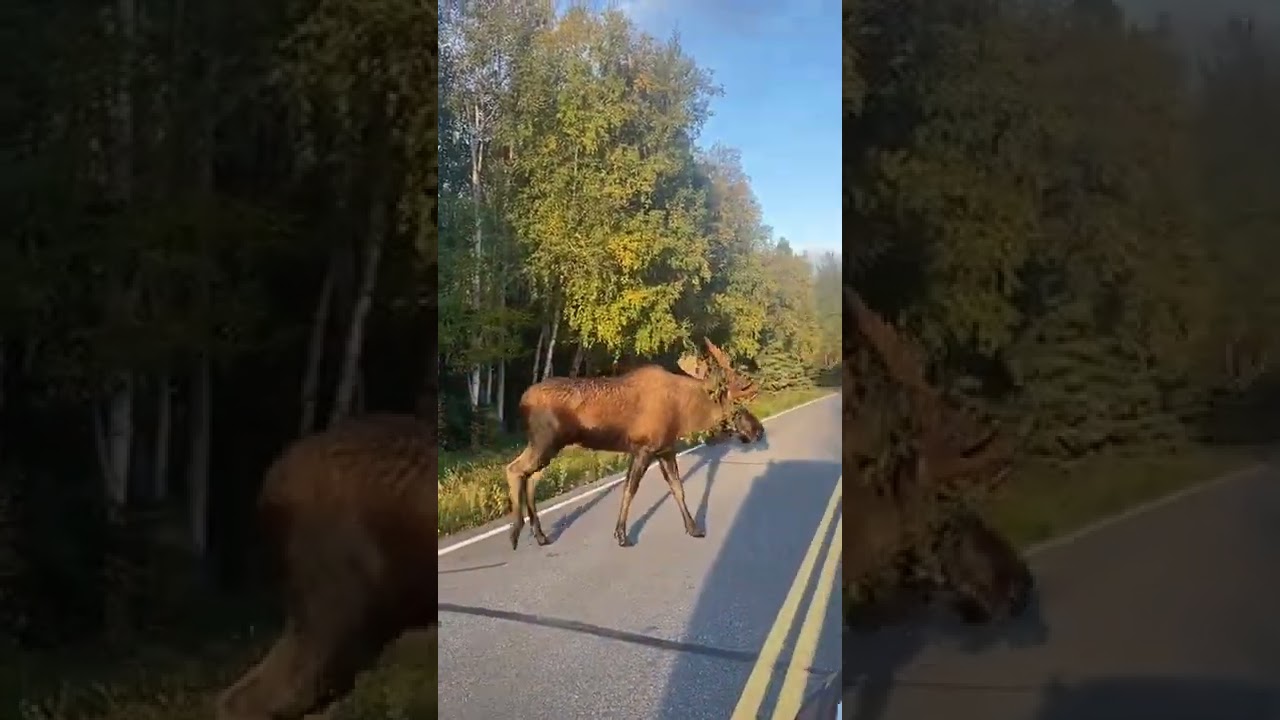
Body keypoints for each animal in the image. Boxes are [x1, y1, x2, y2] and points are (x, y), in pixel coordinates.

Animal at [504, 338, 765, 550]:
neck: (684, 414)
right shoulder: (644, 448)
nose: (758, 431)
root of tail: (520, 402)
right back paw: (515, 532)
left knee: (530, 479)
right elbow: (630, 489)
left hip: (550, 447)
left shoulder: (665, 449)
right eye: (737, 407)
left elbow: (677, 488)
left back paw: (540, 535)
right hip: (544, 442)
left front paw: (693, 528)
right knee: (513, 469)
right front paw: (621, 535)